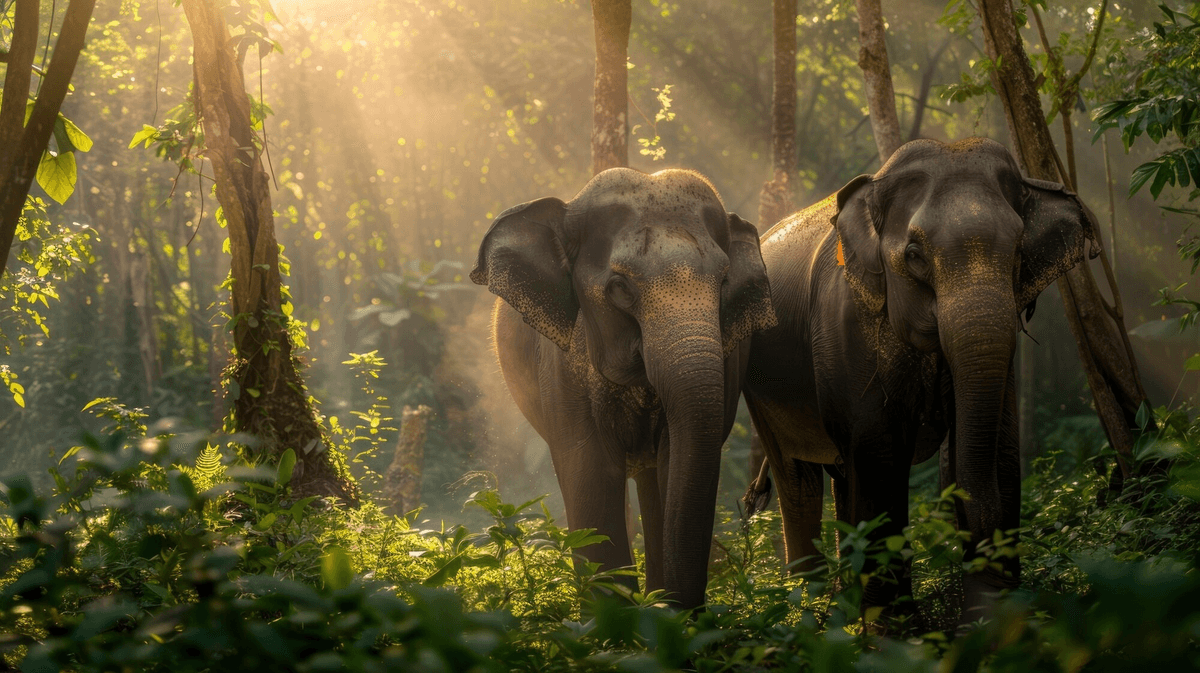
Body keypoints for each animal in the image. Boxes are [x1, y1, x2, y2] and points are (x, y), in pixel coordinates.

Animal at [471, 167, 777, 609]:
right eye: (620, 287)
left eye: (723, 283)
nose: (678, 610)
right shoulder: (562, 368)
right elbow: (591, 471)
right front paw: (619, 618)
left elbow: (678, 462)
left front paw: (660, 613)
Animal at [742, 138, 1094, 622]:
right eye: (914, 255)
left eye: (1019, 252)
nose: (982, 568)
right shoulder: (844, 324)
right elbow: (879, 450)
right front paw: (894, 629)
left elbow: (1001, 445)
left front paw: (990, 618)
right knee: (798, 478)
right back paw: (807, 609)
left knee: (840, 472)